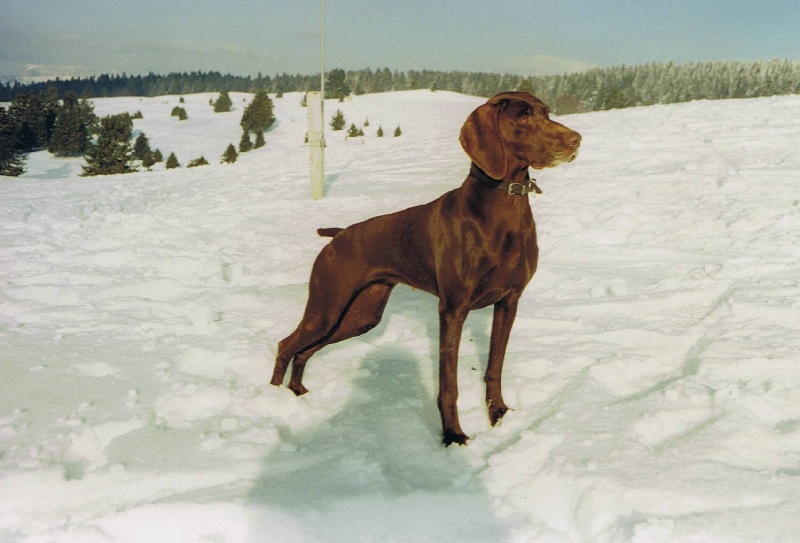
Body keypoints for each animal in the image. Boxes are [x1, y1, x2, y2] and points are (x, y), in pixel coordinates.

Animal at [272, 91, 580, 444]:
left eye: (547, 112)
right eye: (524, 116)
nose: (577, 140)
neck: (503, 209)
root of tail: (339, 235)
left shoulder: (509, 302)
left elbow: (494, 367)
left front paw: (498, 415)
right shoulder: (453, 308)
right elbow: (449, 384)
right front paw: (453, 435)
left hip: (358, 316)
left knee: (304, 350)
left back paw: (297, 390)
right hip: (326, 308)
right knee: (286, 345)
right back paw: (273, 398)